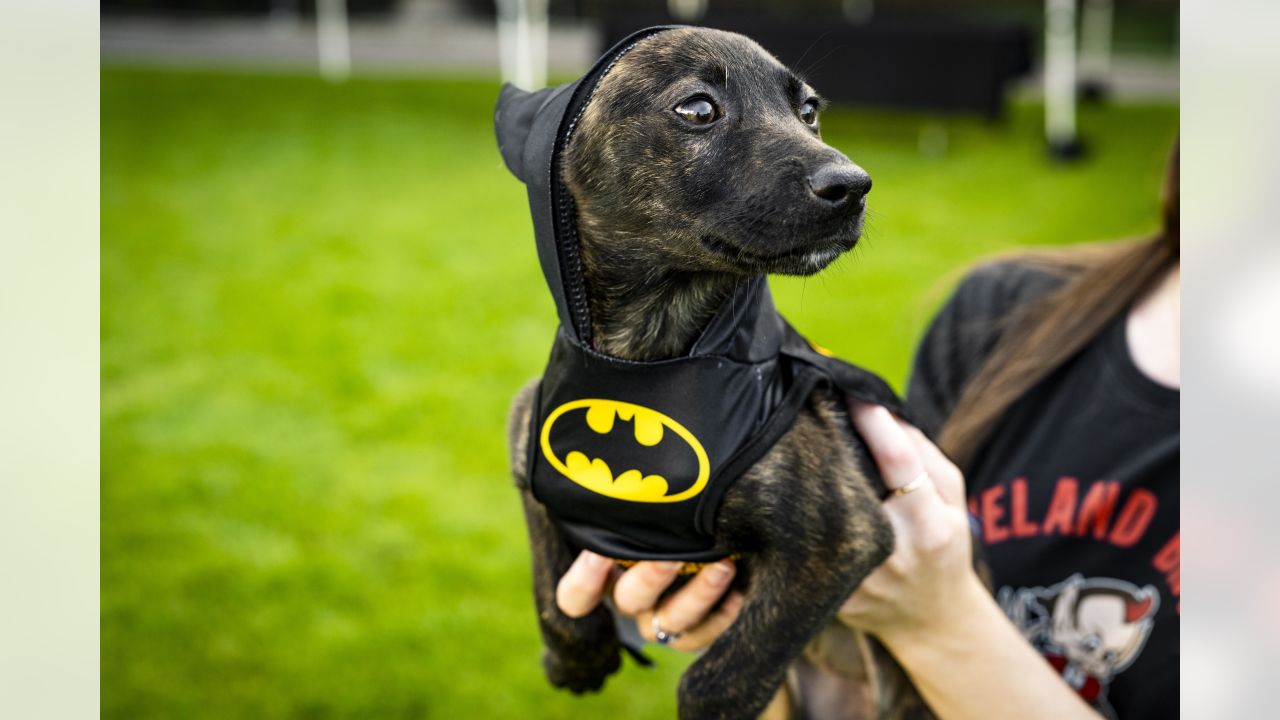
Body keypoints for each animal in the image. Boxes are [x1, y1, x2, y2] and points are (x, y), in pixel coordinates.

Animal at [504, 28, 936, 717]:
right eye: (698, 109)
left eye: (808, 112)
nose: (854, 185)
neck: (649, 347)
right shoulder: (529, 450)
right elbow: (551, 580)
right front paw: (575, 657)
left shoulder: (839, 536)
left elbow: (720, 676)